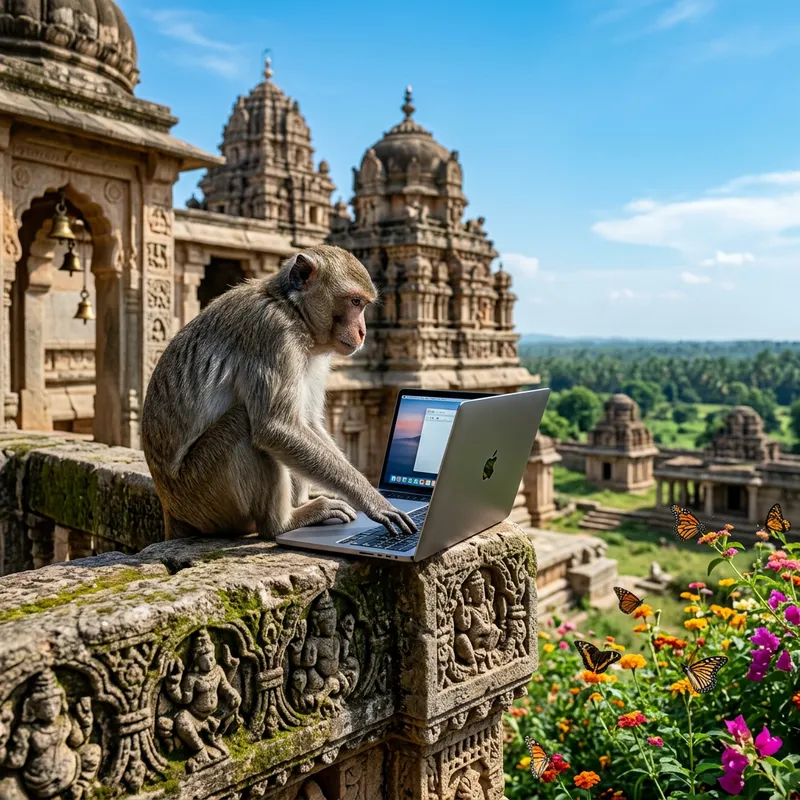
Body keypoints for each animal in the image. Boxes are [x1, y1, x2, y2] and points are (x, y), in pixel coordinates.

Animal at [141, 244, 418, 542]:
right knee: (244, 423)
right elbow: (276, 427)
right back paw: (284, 523)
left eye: (363, 305)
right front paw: (373, 501)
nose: (362, 332)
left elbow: (306, 423)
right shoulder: (273, 333)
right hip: (201, 493)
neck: (292, 310)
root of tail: (171, 508)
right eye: (355, 302)